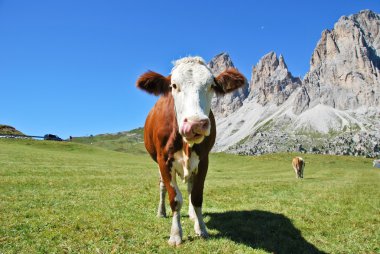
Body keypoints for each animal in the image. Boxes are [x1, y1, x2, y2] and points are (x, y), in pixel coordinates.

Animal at [137, 56, 246, 246]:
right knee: (162, 186)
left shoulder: (203, 160)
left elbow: (196, 196)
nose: (195, 123)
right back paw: (161, 212)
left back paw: (194, 216)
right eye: (174, 85)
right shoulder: (163, 160)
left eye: (211, 85)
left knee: (189, 187)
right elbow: (174, 198)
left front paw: (201, 229)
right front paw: (175, 235)